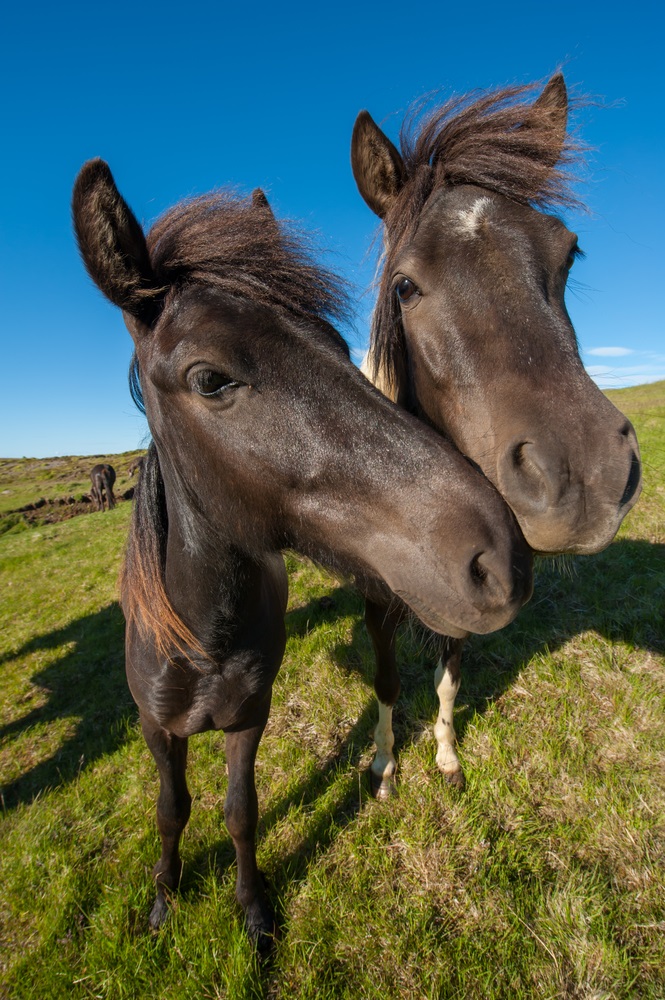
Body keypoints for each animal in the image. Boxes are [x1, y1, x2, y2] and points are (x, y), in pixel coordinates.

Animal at [71, 160, 528, 948]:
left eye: (340, 350)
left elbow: (239, 813)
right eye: (210, 378)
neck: (202, 638)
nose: (498, 554)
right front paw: (164, 898)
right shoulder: (155, 730)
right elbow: (170, 811)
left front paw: (253, 912)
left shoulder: (249, 719)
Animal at [350, 72, 640, 796]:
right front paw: (385, 766)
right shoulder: (376, 607)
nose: (584, 478)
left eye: (569, 252)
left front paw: (446, 756)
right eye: (403, 285)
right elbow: (387, 680)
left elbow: (449, 674)